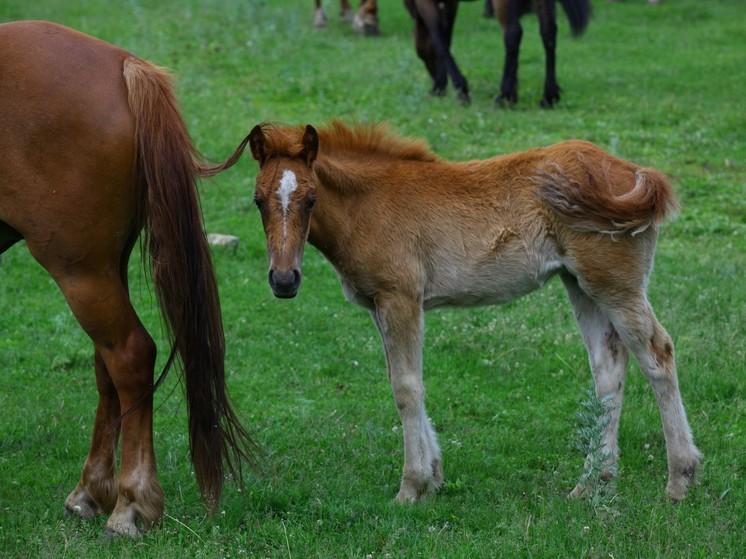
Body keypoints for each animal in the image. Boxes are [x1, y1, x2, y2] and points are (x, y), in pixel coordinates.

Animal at [0, 21, 254, 540]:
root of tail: (123, 65)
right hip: (103, 266)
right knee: (109, 364)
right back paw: (91, 490)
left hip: (79, 269)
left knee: (131, 355)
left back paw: (131, 503)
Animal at [241, 121, 700, 504]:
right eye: (258, 200)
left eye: (311, 199)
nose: (284, 280)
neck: (368, 205)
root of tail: (636, 173)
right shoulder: (380, 305)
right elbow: (402, 381)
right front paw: (434, 475)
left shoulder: (400, 299)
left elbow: (406, 388)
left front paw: (411, 487)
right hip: (581, 285)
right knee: (608, 367)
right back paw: (592, 482)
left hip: (615, 286)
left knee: (658, 355)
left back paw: (679, 479)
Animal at [404, 0, 588, 107]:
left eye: (421, 55)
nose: (435, 79)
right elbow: (446, 37)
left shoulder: (426, 2)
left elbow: (439, 41)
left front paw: (458, 88)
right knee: (548, 32)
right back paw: (549, 96)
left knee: (513, 33)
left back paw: (504, 95)